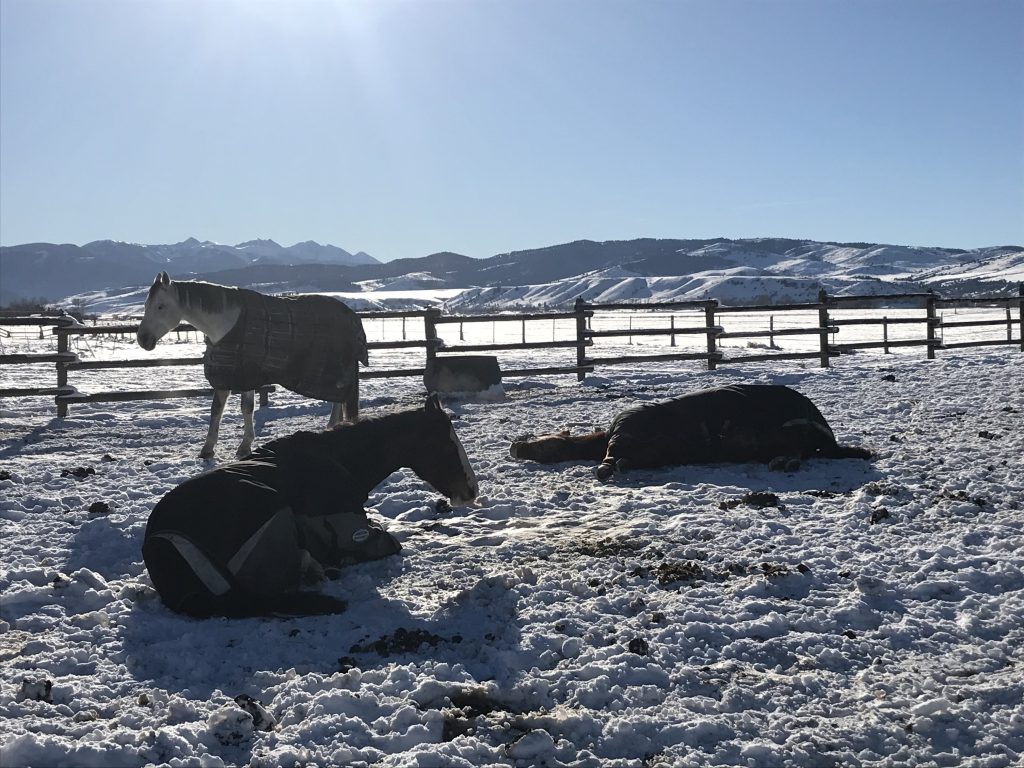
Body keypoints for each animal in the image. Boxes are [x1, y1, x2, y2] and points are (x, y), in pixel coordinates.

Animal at [136, 274, 368, 460]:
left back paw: (331, 426)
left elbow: (246, 408)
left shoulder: (245, 375)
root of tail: (352, 316)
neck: (226, 324)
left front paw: (245, 446)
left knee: (339, 397)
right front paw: (208, 449)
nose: (143, 340)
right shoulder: (225, 375)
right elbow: (216, 410)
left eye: (160, 306)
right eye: (146, 305)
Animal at [144, 397, 479, 618]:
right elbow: (387, 542)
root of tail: (160, 545)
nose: (471, 491)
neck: (337, 459)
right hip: (270, 506)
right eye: (445, 445)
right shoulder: (352, 529)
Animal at [507, 385, 868, 481]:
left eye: (542, 441)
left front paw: (608, 468)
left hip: (790, 434)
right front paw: (617, 466)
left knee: (796, 453)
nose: (514, 446)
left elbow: (613, 457)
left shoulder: (627, 434)